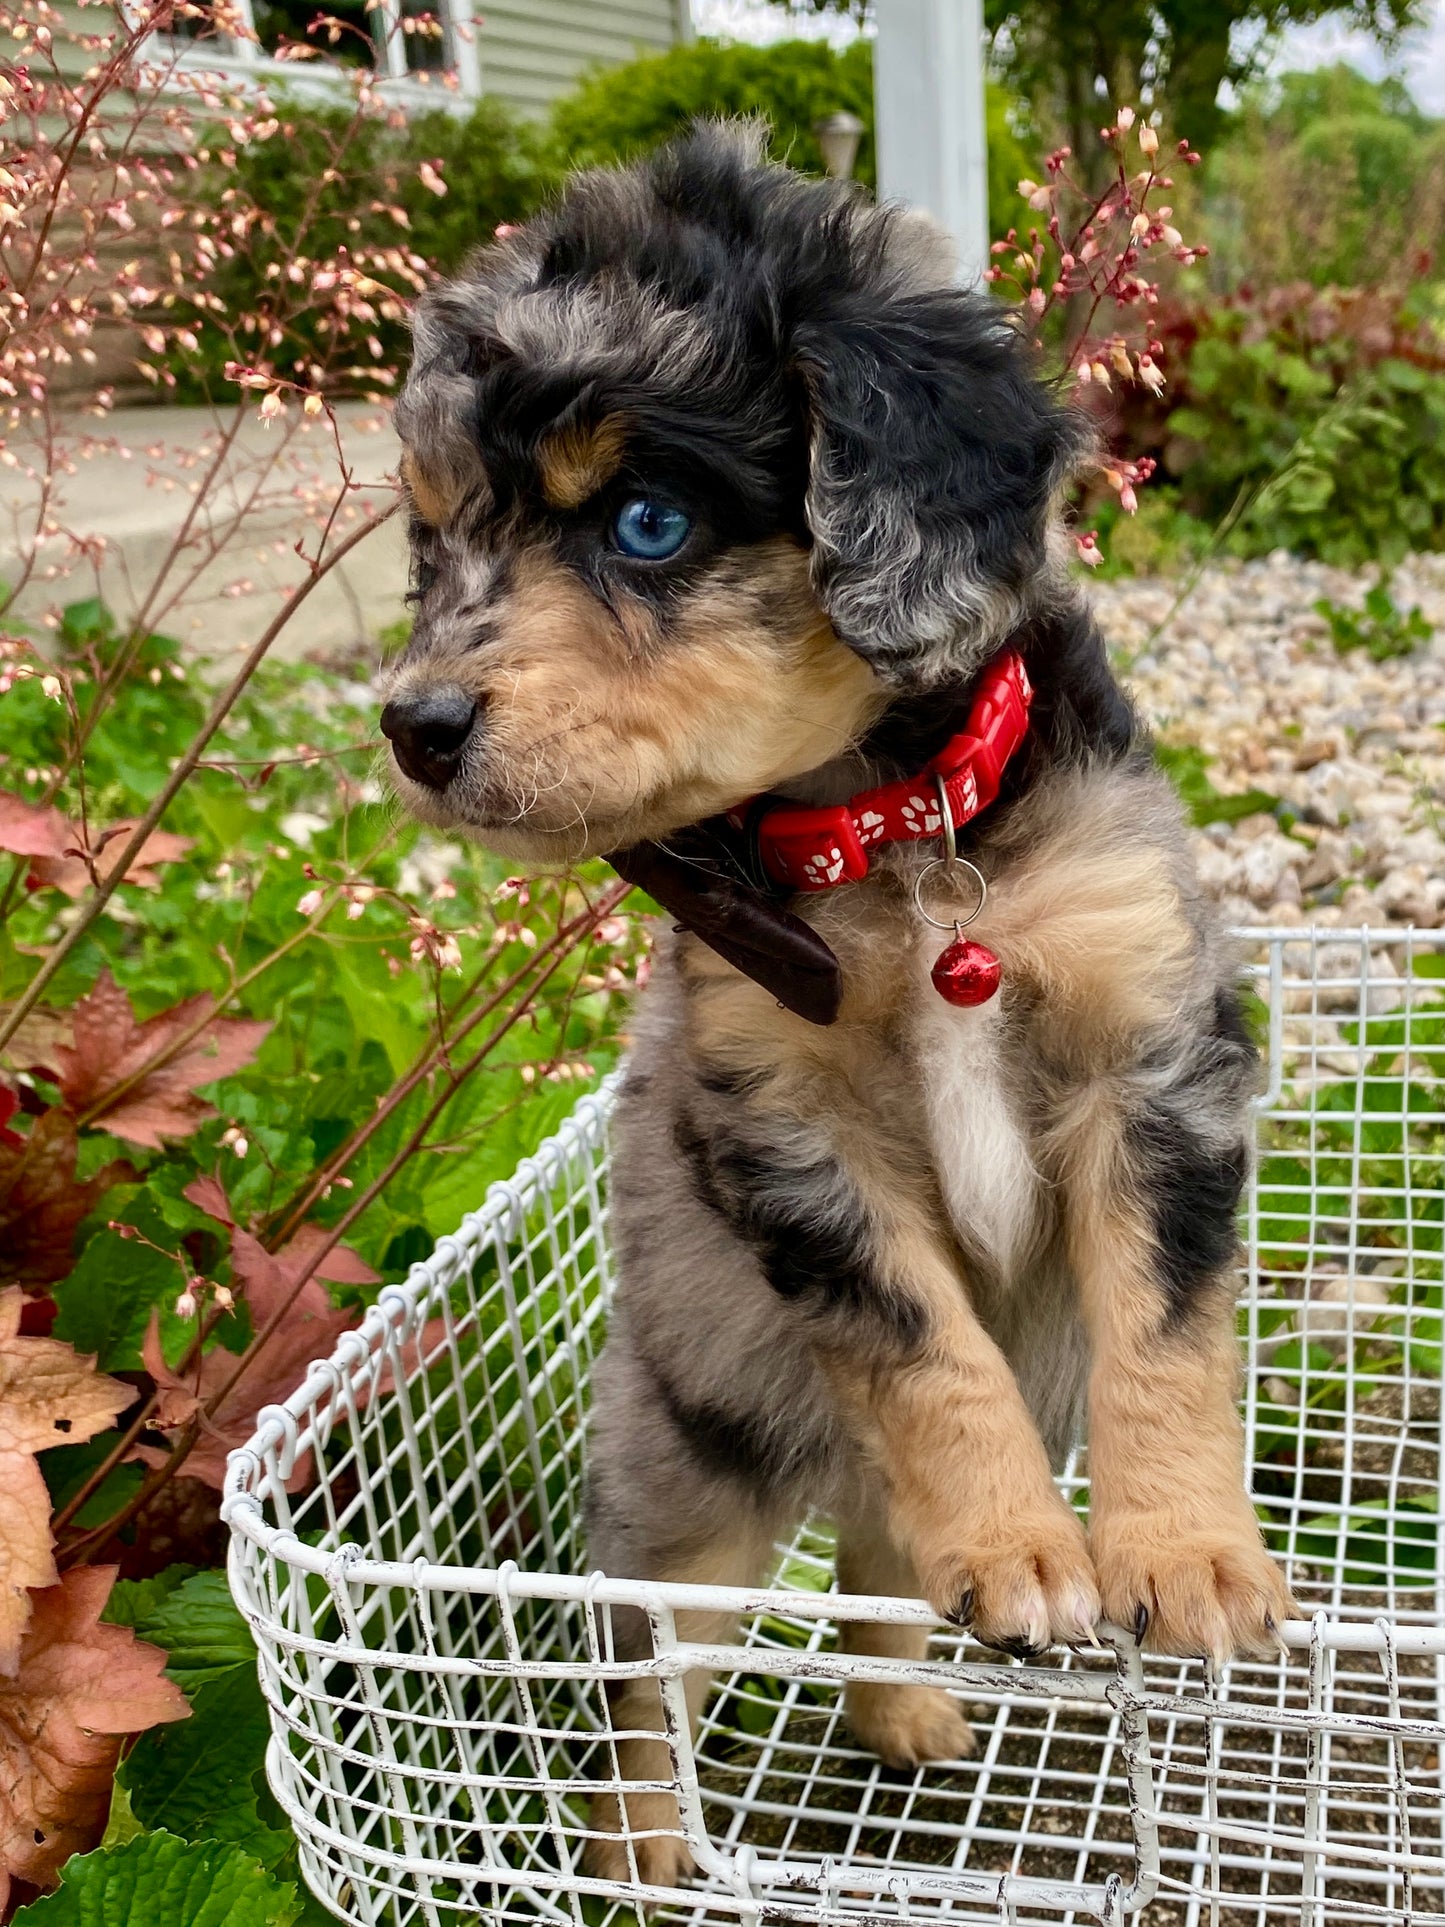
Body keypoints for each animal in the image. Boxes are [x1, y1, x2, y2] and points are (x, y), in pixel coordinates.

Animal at [379, 120, 1294, 1880]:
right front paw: (1025, 1544)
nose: (413, 725)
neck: (897, 844)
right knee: (653, 1670)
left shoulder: (1153, 1059)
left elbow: (1164, 1330)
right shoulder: (788, 1127)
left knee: (878, 1561)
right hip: (683, 1487)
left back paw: (907, 1708)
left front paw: (1188, 1554)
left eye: (646, 521)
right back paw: (646, 1846)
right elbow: (928, 1348)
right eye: (431, 544)